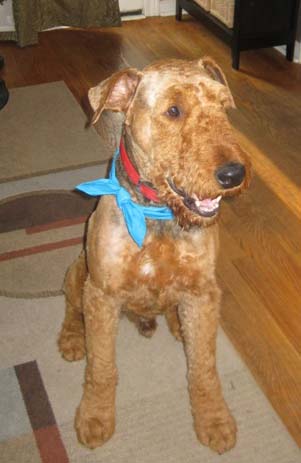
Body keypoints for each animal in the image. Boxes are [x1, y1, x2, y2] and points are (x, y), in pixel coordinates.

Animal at [58, 56, 251, 454]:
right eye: (173, 110)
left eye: (223, 105)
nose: (234, 174)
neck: (157, 213)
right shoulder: (101, 294)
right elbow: (101, 367)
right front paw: (95, 418)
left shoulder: (204, 292)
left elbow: (204, 368)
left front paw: (215, 421)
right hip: (77, 272)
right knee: (71, 307)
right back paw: (71, 339)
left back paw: (178, 325)